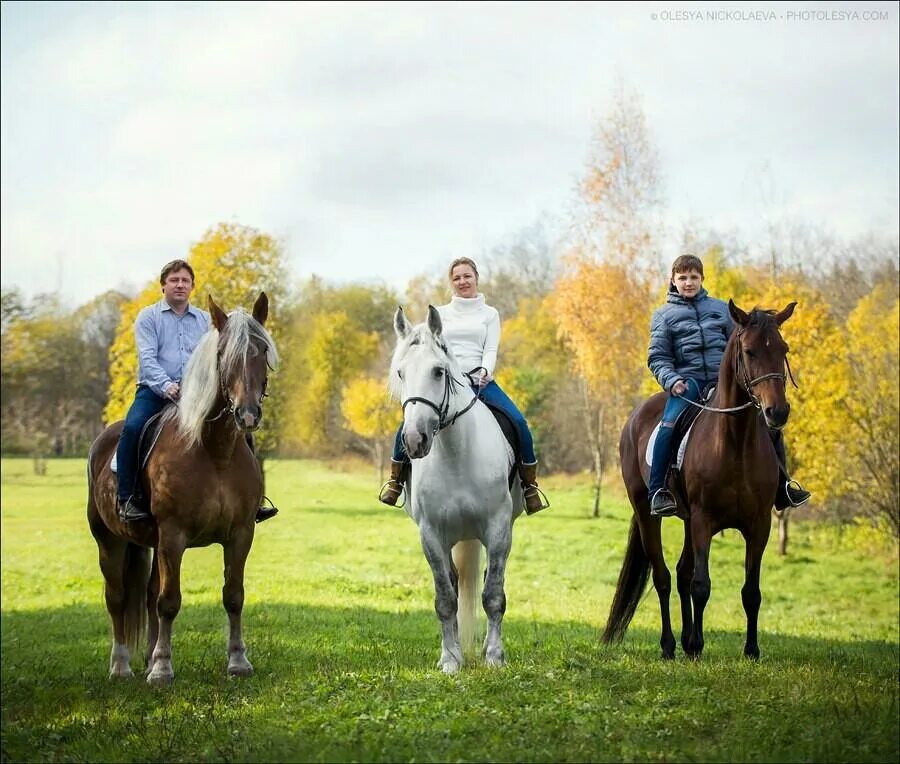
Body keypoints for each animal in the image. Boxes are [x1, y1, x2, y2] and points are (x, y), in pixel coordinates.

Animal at [390, 304, 524, 676]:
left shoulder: (498, 530)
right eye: (401, 373)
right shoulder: (431, 535)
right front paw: (450, 659)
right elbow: (446, 599)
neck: (456, 453)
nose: (414, 440)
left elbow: (493, 595)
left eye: (438, 372)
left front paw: (494, 657)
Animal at [604, 302, 796, 660]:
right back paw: (669, 645)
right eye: (749, 352)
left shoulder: (758, 524)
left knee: (681, 573)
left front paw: (750, 650)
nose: (777, 412)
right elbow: (701, 585)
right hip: (648, 513)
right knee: (664, 577)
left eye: (783, 349)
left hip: (688, 521)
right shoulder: (705, 521)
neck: (735, 442)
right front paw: (696, 645)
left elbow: (751, 591)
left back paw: (683, 641)